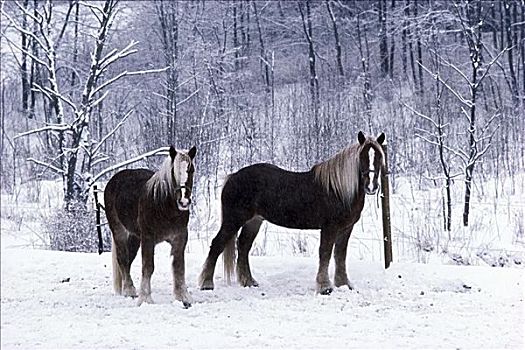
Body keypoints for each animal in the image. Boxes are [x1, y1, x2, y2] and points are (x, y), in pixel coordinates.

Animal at [104, 145, 196, 306]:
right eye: (173, 171)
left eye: (191, 170)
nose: (184, 201)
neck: (163, 206)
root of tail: (114, 180)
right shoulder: (148, 239)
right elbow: (148, 267)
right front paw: (145, 298)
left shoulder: (180, 238)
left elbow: (178, 267)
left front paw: (182, 297)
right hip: (119, 231)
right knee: (123, 259)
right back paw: (129, 290)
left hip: (134, 237)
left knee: (128, 260)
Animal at [199, 133, 382, 294]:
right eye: (363, 157)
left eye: (379, 157)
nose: (371, 187)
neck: (337, 190)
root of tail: (232, 177)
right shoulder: (329, 228)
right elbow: (325, 253)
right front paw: (325, 287)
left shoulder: (346, 228)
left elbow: (340, 255)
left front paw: (343, 284)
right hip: (233, 220)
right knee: (217, 244)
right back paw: (207, 284)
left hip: (254, 221)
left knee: (243, 246)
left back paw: (249, 281)